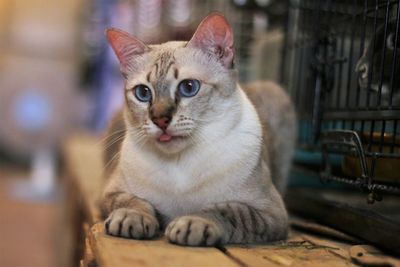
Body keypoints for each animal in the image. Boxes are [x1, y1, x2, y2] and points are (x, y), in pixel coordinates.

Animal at [100, 12, 296, 247]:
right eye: (143, 93)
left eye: (189, 87)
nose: (160, 120)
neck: (178, 166)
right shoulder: (109, 193)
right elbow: (133, 202)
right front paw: (131, 218)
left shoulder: (272, 212)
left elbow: (227, 211)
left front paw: (192, 223)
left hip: (276, 94)